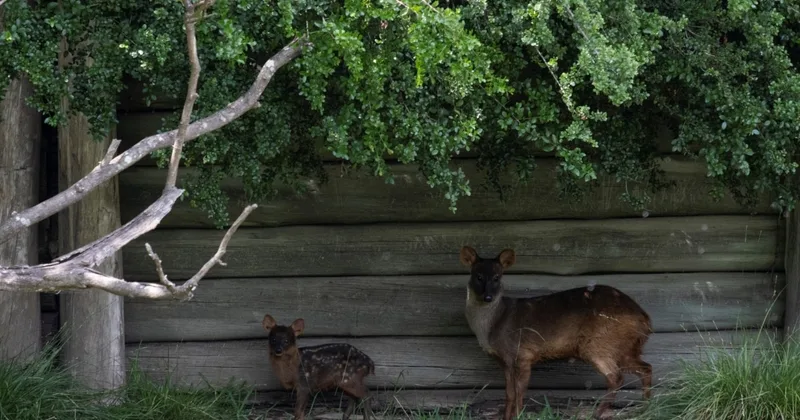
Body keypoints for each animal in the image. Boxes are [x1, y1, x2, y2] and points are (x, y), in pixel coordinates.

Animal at [459, 246, 653, 420]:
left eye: (497, 278)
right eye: (478, 276)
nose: (488, 297)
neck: (493, 326)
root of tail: (645, 320)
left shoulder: (523, 354)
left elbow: (520, 392)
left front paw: (519, 416)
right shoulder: (504, 361)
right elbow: (509, 393)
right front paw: (506, 417)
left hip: (599, 342)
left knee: (616, 377)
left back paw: (599, 413)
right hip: (625, 346)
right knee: (646, 368)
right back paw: (646, 408)